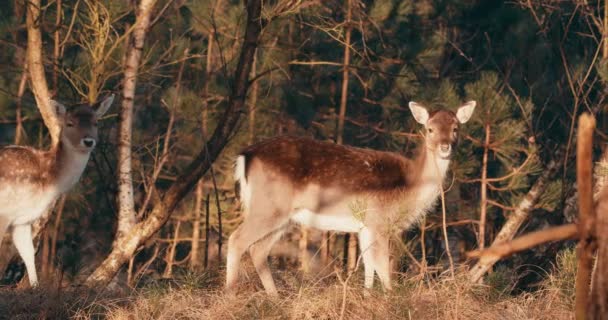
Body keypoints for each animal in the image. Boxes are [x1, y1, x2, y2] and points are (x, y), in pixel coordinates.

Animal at [0, 94, 114, 284]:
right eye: (69, 123)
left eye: (96, 122)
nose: (88, 141)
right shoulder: (5, 213)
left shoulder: (22, 219)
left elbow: (28, 254)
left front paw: (35, 287)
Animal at [226, 100, 478, 296]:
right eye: (430, 129)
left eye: (456, 128)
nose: (445, 147)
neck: (410, 187)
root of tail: (245, 156)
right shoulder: (379, 221)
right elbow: (383, 268)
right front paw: (389, 300)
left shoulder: (364, 227)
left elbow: (369, 267)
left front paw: (367, 297)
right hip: (268, 207)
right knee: (236, 239)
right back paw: (230, 295)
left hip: (283, 216)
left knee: (258, 250)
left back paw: (275, 298)